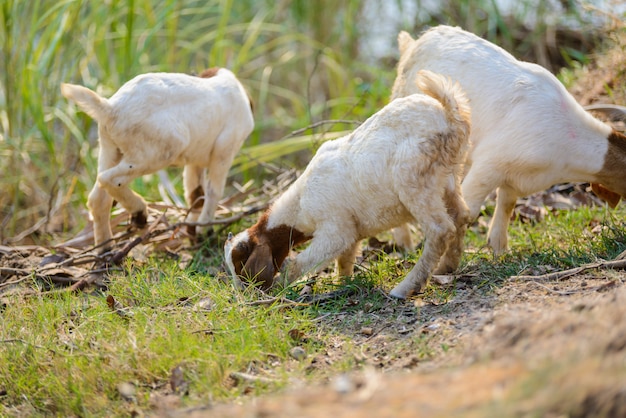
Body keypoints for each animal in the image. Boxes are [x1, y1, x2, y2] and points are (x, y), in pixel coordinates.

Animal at [60, 66, 251, 247]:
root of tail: (110, 108)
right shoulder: (224, 151)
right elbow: (213, 192)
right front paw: (204, 232)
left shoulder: (195, 159)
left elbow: (195, 194)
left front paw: (193, 231)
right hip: (157, 152)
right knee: (110, 179)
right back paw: (139, 214)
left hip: (110, 150)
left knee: (98, 198)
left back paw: (105, 250)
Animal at [224, 70, 468, 298]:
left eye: (241, 264)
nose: (244, 294)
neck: (300, 203)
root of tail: (448, 114)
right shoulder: (352, 228)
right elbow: (345, 259)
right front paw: (344, 283)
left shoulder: (335, 229)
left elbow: (302, 262)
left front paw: (280, 287)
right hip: (449, 178)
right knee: (461, 216)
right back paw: (446, 268)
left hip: (415, 179)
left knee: (440, 230)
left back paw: (406, 287)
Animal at [390, 25, 624, 264]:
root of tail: (415, 43)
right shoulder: (488, 166)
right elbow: (467, 211)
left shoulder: (515, 176)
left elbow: (506, 203)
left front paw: (499, 248)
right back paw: (405, 243)